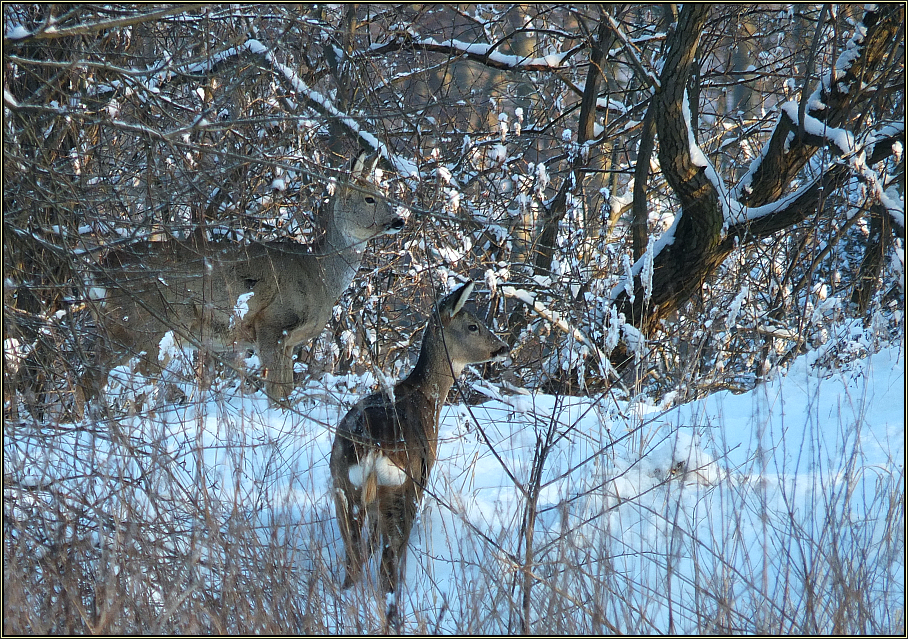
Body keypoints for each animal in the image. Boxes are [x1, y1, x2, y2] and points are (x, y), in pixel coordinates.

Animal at [80, 154, 402, 410]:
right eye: (369, 198)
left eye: (383, 192)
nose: (399, 220)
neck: (319, 275)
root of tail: (97, 274)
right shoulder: (272, 323)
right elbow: (277, 393)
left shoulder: (288, 342)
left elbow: (286, 389)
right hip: (141, 325)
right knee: (100, 377)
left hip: (128, 331)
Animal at [330, 278, 510, 604]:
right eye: (473, 325)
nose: (503, 347)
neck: (426, 398)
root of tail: (371, 448)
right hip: (402, 487)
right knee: (387, 563)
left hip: (343, 487)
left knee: (354, 558)